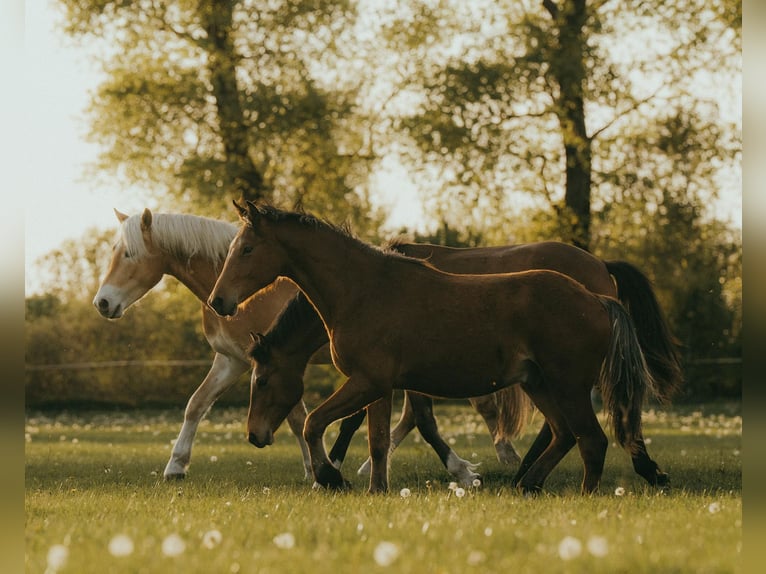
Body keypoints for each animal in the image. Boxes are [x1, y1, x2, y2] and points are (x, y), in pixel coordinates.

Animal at [92, 208, 528, 483]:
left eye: (127, 254)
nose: (103, 303)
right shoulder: (232, 361)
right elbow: (196, 405)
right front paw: (176, 467)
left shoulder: (275, 363)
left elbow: (297, 417)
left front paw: (315, 471)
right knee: (414, 414)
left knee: (439, 412)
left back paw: (481, 463)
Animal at [208, 202, 671, 495]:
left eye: (246, 248)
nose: (219, 300)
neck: (364, 288)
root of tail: (597, 298)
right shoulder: (380, 386)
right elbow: (377, 438)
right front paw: (376, 487)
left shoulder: (369, 382)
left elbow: (316, 423)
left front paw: (332, 476)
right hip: (539, 384)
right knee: (562, 435)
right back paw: (527, 483)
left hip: (568, 387)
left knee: (591, 440)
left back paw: (590, 495)